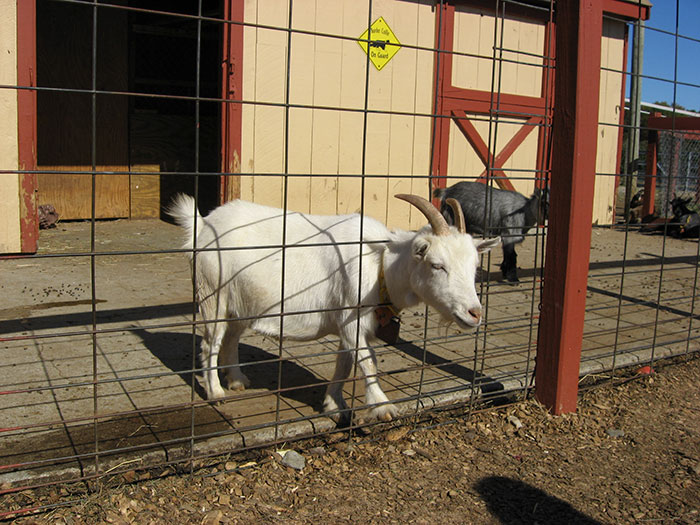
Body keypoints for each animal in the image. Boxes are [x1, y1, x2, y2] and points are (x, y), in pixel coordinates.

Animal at [168, 194, 500, 424]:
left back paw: (237, 380)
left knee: (231, 338)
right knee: (210, 342)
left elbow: (345, 363)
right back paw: (216, 392)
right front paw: (383, 406)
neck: (379, 265)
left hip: (243, 303)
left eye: (475, 266)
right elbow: (367, 361)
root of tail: (202, 225)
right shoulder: (352, 319)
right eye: (436, 265)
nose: (474, 313)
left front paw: (333, 405)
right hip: (213, 294)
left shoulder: (347, 325)